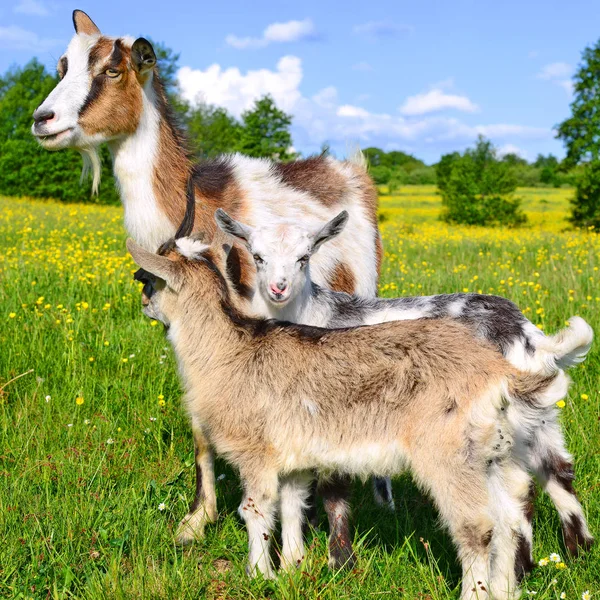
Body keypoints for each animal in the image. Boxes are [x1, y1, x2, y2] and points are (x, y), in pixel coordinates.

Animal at [129, 237, 568, 596]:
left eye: (149, 280)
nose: (143, 303)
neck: (229, 350)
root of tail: (498, 372)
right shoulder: (294, 458)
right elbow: (292, 505)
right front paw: (292, 569)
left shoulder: (256, 452)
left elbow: (255, 509)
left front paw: (259, 575)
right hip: (493, 455)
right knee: (510, 521)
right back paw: (505, 590)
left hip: (449, 456)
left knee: (478, 527)